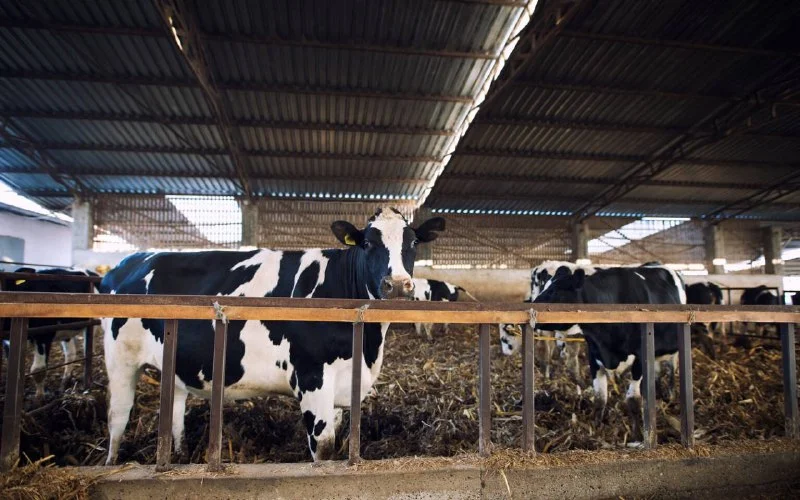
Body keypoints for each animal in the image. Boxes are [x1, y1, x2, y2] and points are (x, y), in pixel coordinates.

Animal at [1, 267, 98, 401]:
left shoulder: (44, 335)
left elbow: (38, 370)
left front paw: (39, 398)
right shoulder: (8, 340)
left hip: (91, 325)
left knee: (87, 350)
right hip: (66, 330)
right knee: (70, 354)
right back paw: (65, 381)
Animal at [99, 208, 444, 465]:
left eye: (413, 243)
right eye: (368, 244)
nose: (397, 285)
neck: (368, 346)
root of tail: (126, 262)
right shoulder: (311, 378)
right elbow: (324, 448)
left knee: (175, 408)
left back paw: (180, 454)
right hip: (121, 358)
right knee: (118, 415)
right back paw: (112, 463)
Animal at [533, 265, 685, 442]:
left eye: (555, 291)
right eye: (544, 286)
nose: (529, 304)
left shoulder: (639, 358)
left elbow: (633, 400)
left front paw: (637, 435)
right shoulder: (594, 355)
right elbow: (600, 398)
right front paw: (596, 431)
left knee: (672, 368)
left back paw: (670, 395)